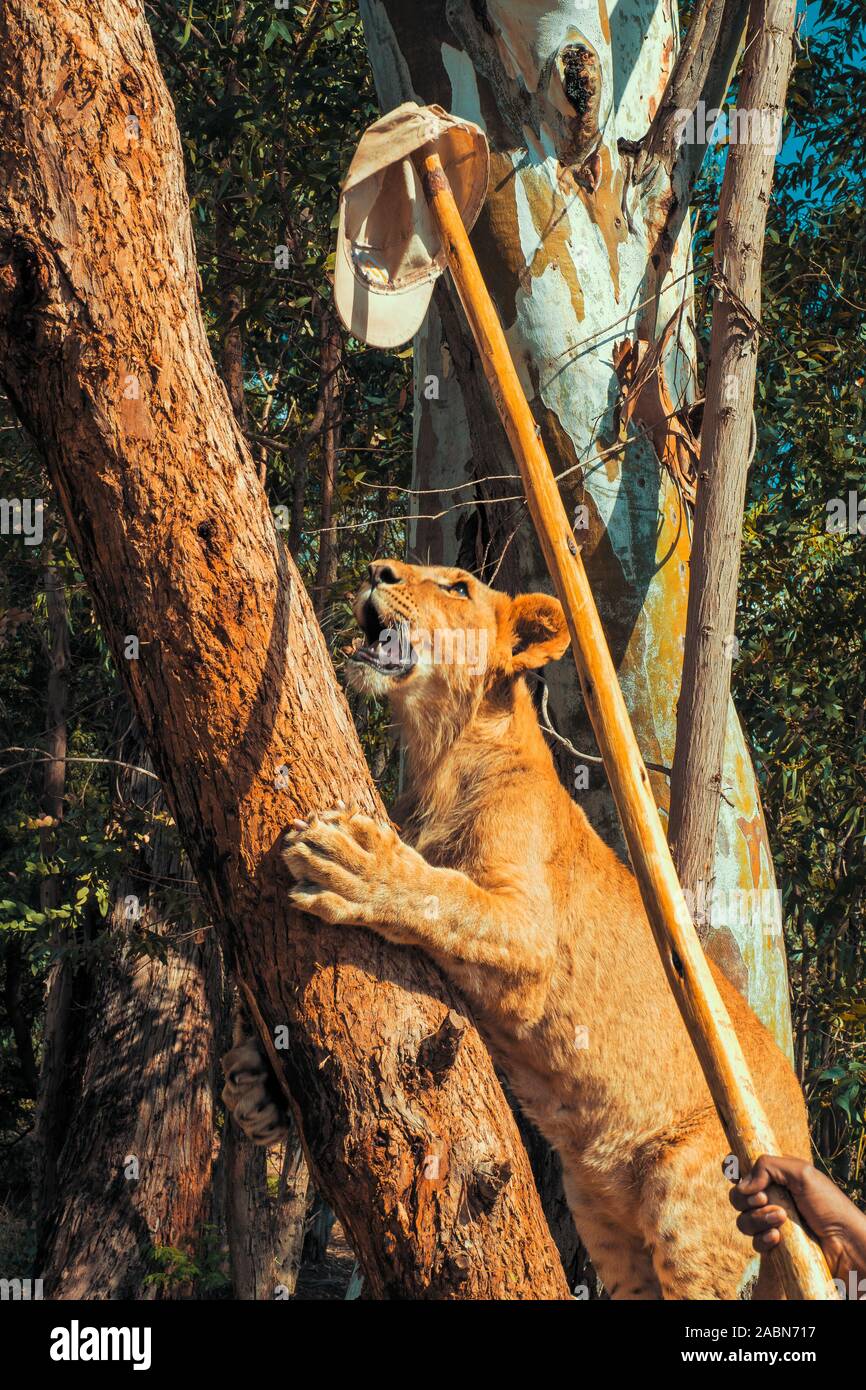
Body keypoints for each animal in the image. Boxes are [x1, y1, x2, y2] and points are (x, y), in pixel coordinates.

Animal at [225, 559, 811, 1299]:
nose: (380, 569)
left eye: (457, 587)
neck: (438, 755)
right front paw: (254, 1087)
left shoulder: (531, 936)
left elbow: (441, 895)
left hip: (694, 1204)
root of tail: (804, 1138)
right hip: (608, 1225)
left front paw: (355, 862)